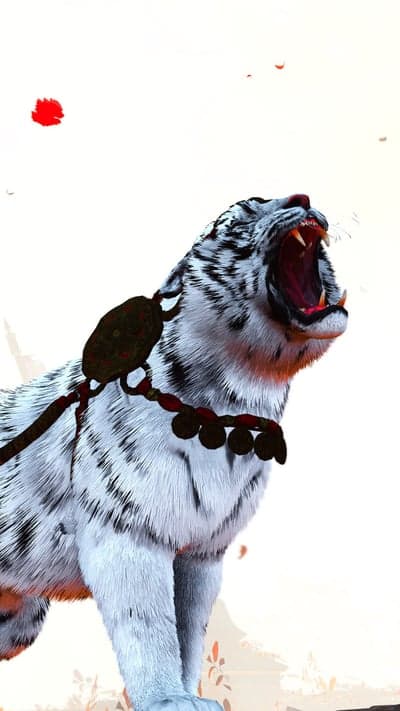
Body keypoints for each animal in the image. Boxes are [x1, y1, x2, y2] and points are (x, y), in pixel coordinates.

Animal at [0, 194, 347, 711]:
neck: (233, 412)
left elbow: (189, 629)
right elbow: (150, 626)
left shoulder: (203, 551)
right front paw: (166, 700)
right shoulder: (127, 534)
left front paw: (191, 697)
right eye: (236, 215)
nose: (302, 198)